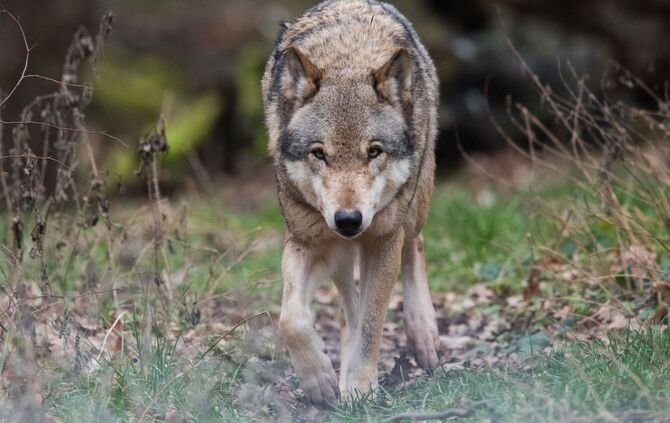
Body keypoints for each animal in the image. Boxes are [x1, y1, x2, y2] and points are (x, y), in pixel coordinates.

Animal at [262, 0, 439, 406]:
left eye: (373, 151)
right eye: (319, 154)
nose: (348, 219)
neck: (348, 60)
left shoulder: (383, 240)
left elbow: (373, 326)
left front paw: (359, 387)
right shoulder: (306, 240)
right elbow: (290, 319)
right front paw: (320, 381)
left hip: (412, 210)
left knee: (415, 245)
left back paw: (424, 336)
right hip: (338, 252)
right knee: (348, 300)